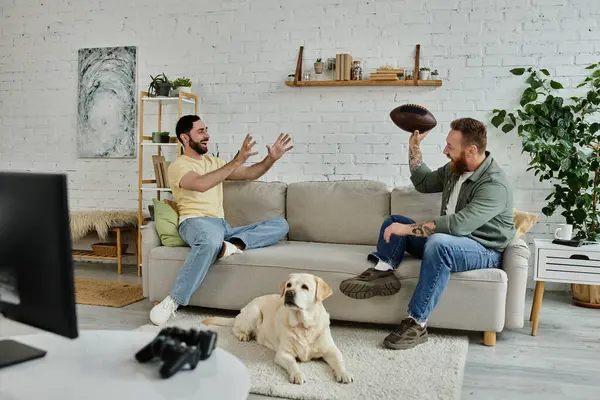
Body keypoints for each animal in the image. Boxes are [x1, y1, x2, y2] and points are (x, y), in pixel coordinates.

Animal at [202, 272, 352, 384]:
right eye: (288, 285)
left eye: (305, 287)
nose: (289, 293)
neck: (302, 324)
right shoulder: (283, 354)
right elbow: (293, 364)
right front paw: (297, 374)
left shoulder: (331, 350)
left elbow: (339, 361)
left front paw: (344, 373)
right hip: (254, 313)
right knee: (235, 328)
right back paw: (243, 335)